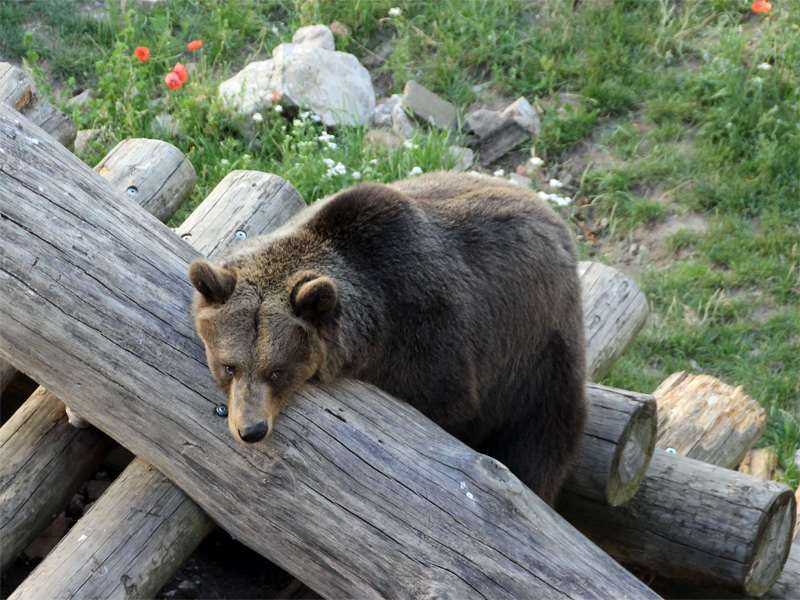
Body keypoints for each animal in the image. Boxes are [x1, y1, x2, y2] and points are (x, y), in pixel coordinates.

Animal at [189, 171, 586, 504]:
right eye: (228, 366)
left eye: (278, 371)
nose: (251, 429)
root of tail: (552, 217)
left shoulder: (431, 342)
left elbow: (450, 402)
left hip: (535, 354)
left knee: (541, 440)